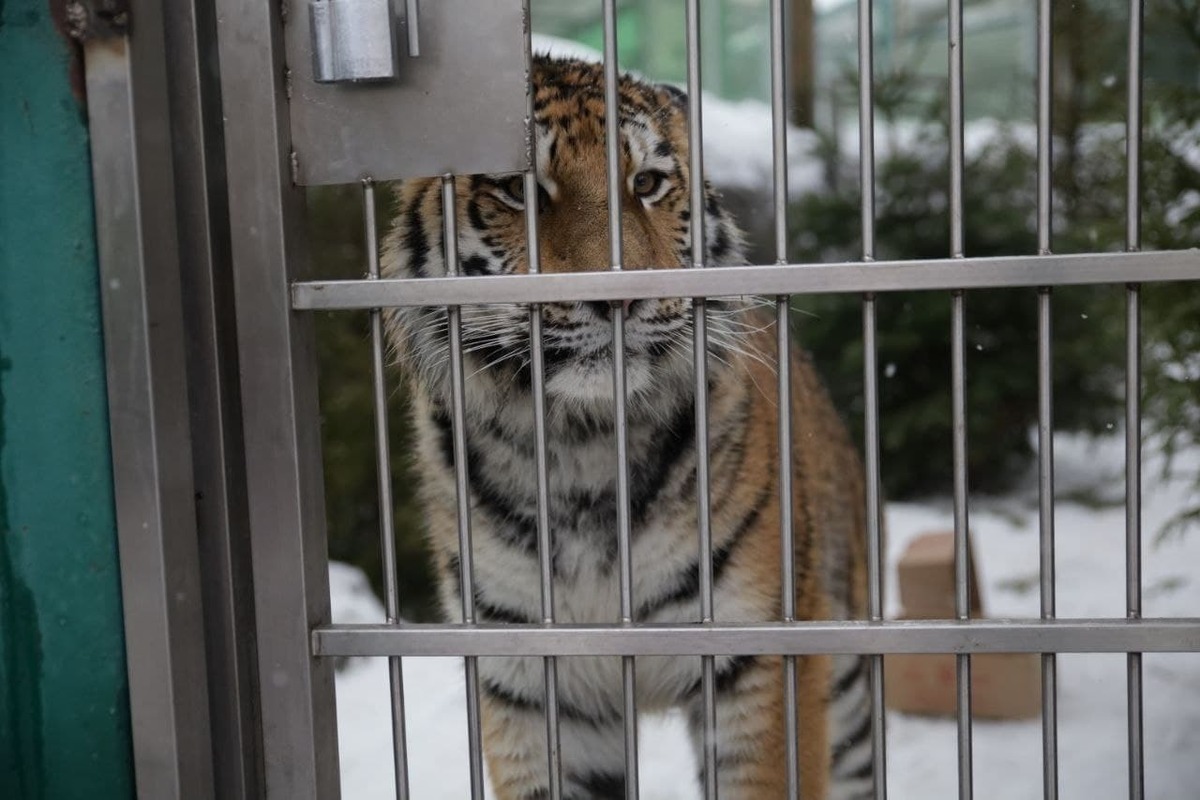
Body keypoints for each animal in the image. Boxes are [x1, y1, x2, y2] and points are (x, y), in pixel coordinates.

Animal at [381, 54, 873, 800]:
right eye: (518, 191)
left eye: (646, 184)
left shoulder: (758, 658)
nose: (623, 296)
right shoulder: (528, 676)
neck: (582, 447)